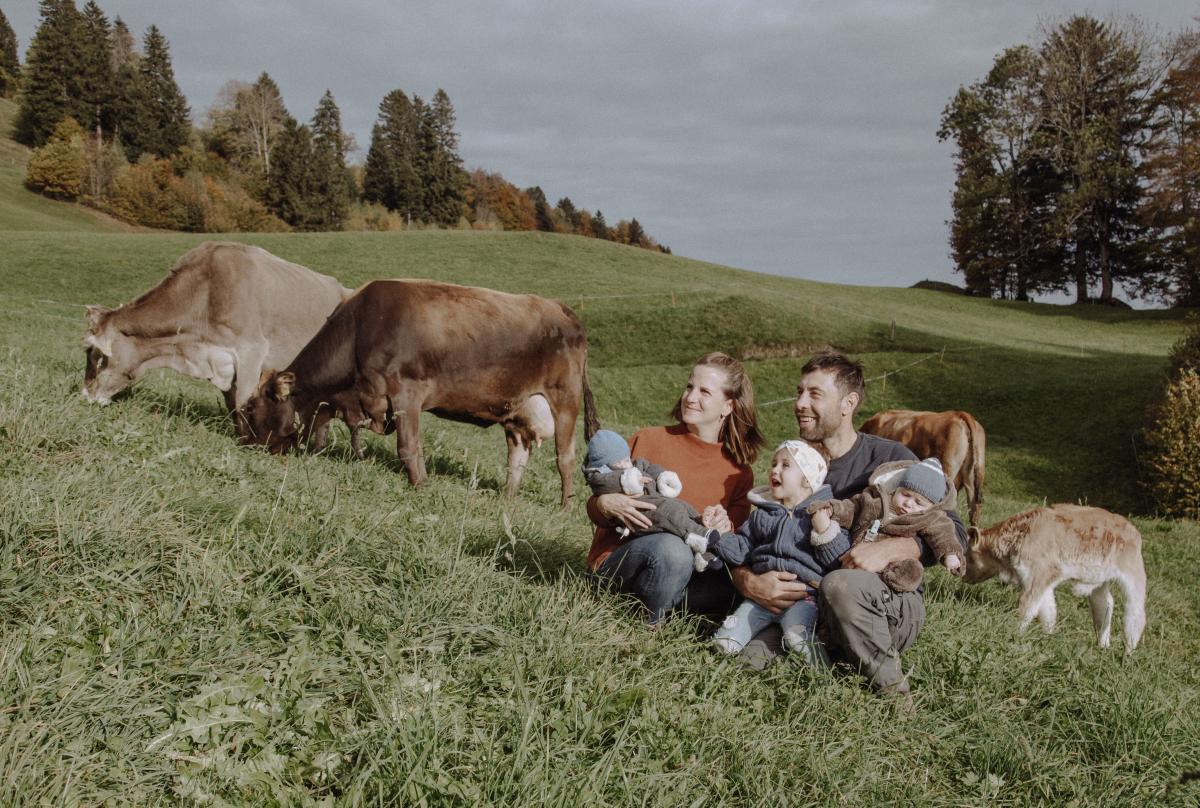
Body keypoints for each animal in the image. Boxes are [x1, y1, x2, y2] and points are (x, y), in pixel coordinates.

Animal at [81, 241, 348, 410]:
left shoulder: (252, 350)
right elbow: (232, 404)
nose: (86, 396)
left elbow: (242, 403)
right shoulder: (221, 362)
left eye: (97, 356)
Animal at [237, 277, 600, 504]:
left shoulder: (405, 392)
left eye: (252, 408)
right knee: (517, 456)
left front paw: (421, 486)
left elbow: (408, 446)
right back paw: (507, 498)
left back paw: (565, 506)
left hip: (565, 399)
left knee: (565, 458)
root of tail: (561, 308)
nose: (244, 444)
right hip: (518, 410)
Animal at [964, 501, 1142, 653]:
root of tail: (1132, 529)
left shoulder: (1037, 576)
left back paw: (1129, 651)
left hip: (1134, 574)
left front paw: (1013, 635)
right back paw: (1103, 645)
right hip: (1099, 582)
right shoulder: (1042, 579)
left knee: (1135, 613)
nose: (963, 575)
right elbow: (1048, 609)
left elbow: (1026, 610)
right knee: (1105, 605)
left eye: (969, 556)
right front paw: (1048, 637)